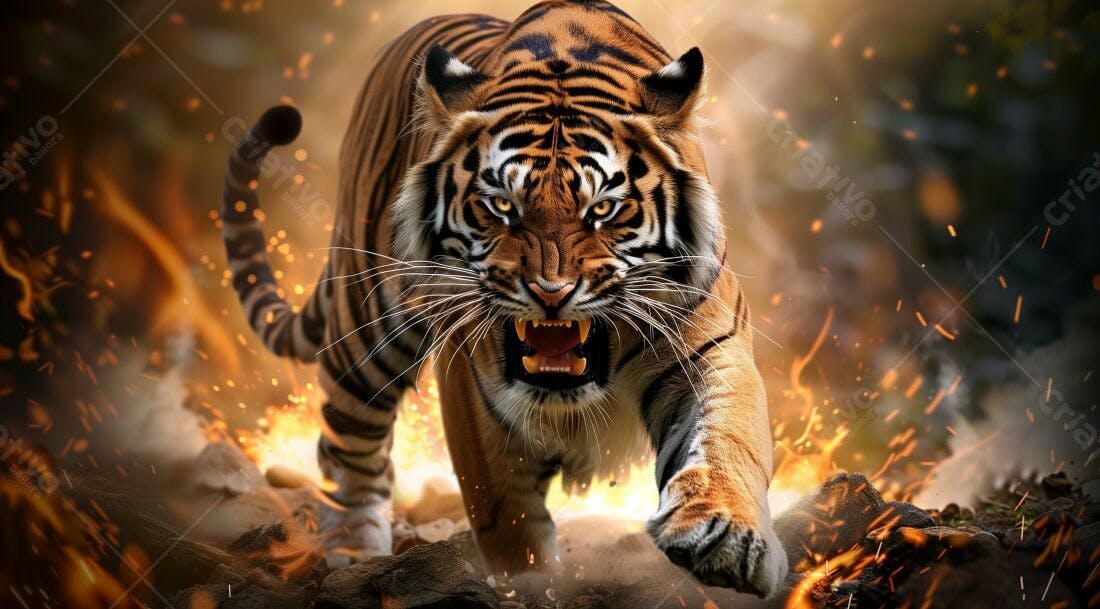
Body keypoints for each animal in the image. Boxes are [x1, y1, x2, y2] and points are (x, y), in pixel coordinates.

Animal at [220, 0, 786, 596]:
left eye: (603, 209)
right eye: (501, 206)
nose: (550, 293)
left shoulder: (711, 351)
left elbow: (728, 442)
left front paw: (725, 537)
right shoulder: (474, 393)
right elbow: (508, 519)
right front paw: (532, 587)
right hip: (367, 325)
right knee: (348, 442)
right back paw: (354, 557)